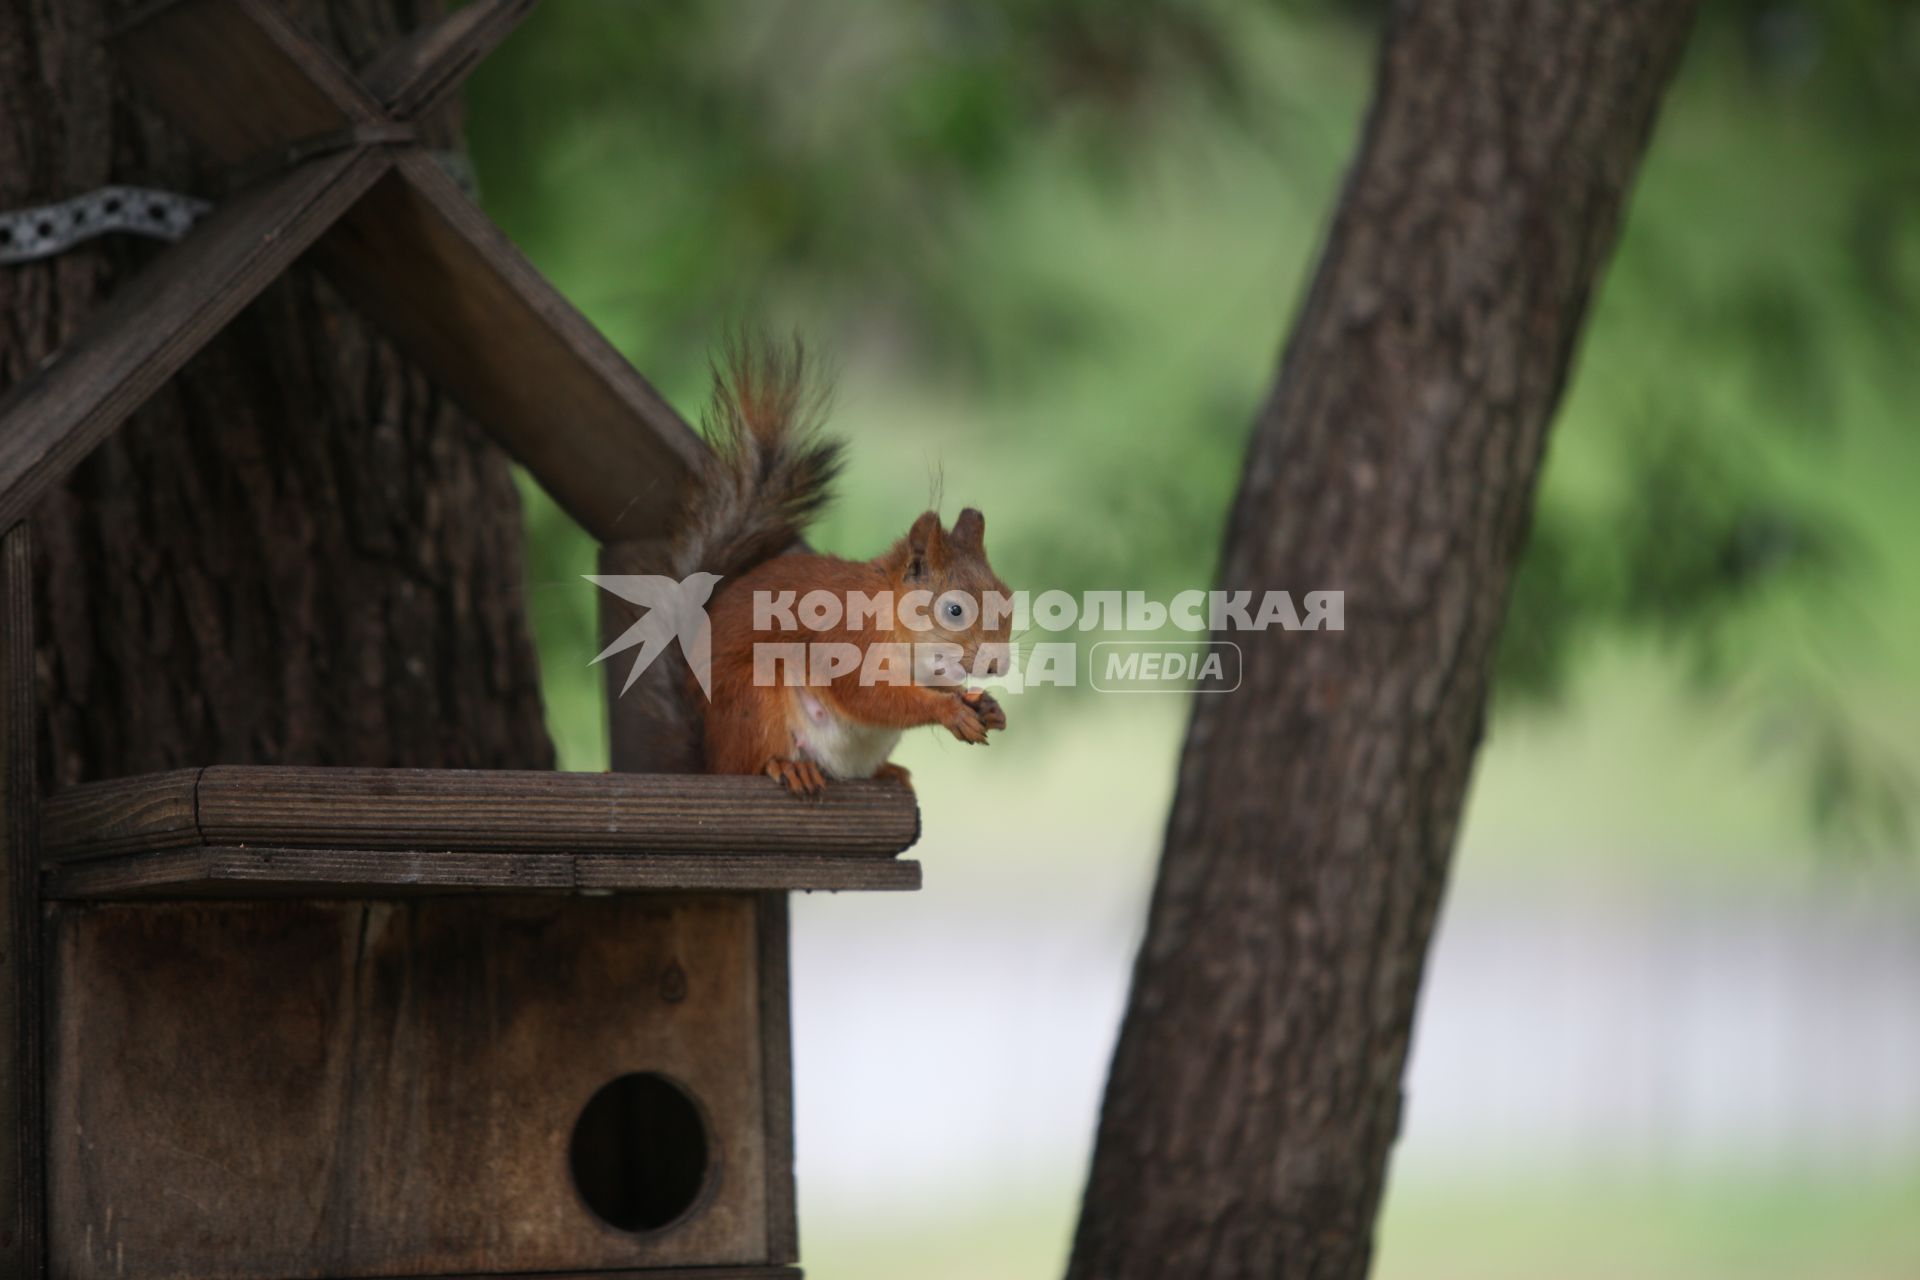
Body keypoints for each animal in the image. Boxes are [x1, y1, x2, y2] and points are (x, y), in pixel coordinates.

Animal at [660, 335, 1013, 794]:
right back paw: (784, 766)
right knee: (748, 761)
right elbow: (871, 696)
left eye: (1008, 599)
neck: (896, 621)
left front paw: (986, 705)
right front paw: (948, 710)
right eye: (954, 609)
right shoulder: (848, 635)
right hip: (752, 699)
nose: (998, 664)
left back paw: (888, 771)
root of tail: (709, 750)